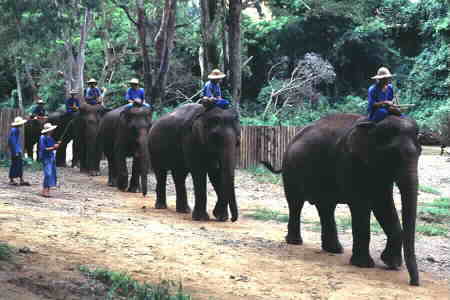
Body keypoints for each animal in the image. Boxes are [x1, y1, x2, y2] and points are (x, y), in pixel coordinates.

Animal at [264, 113, 422, 286]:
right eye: (392, 155)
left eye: (420, 153)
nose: (414, 283)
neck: (372, 124)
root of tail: (291, 139)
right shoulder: (350, 162)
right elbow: (361, 205)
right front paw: (364, 265)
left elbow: (383, 204)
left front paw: (391, 264)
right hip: (291, 169)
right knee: (296, 203)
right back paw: (295, 242)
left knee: (326, 207)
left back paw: (334, 249)